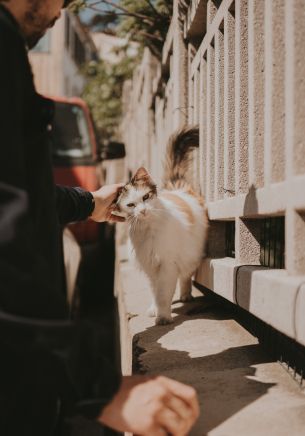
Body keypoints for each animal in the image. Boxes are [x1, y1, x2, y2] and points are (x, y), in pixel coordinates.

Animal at [115, 126, 208, 324]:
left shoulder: (167, 265)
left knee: (186, 276)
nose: (143, 211)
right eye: (131, 205)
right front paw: (155, 308)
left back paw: (186, 295)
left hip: (191, 253)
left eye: (145, 197)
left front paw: (163, 316)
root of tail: (178, 187)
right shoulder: (150, 266)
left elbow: (164, 293)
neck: (148, 230)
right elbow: (154, 291)